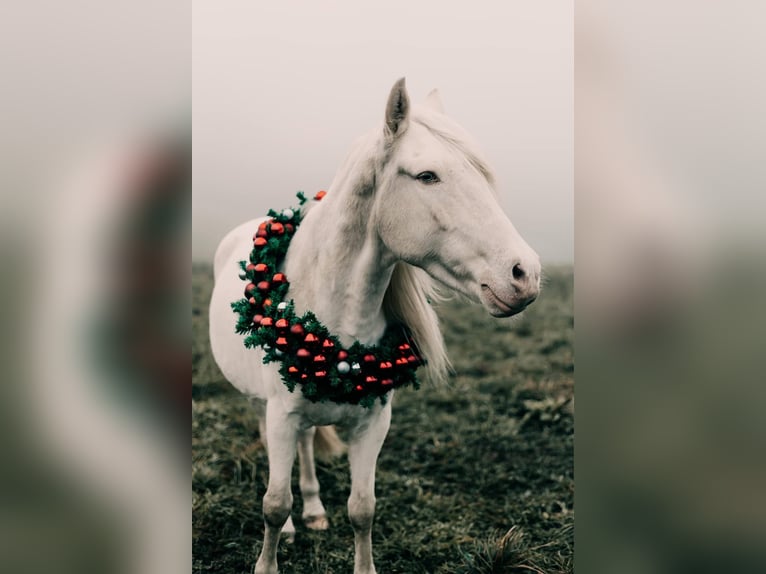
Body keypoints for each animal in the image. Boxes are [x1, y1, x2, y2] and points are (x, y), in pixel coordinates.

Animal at [208, 80, 540, 574]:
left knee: (308, 447)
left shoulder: (374, 424)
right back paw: (292, 528)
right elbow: (273, 504)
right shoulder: (281, 415)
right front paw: (268, 559)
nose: (525, 274)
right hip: (260, 404)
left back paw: (314, 509)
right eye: (427, 176)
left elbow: (363, 508)